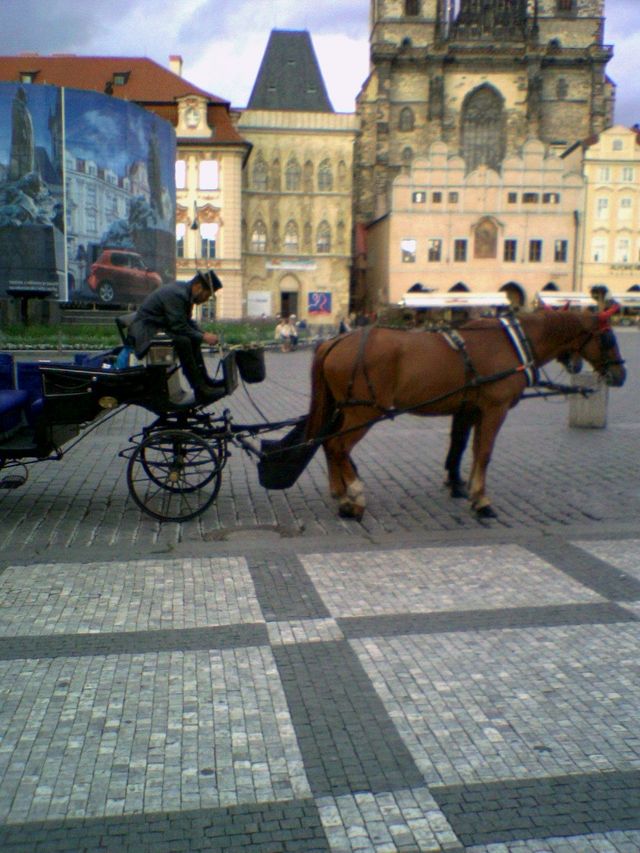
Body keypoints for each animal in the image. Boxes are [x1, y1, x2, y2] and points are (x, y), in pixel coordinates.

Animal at [304, 308, 624, 520]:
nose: (622, 375)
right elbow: (484, 452)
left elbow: (468, 448)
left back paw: (341, 494)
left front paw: (465, 487)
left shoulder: (473, 409)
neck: (510, 342)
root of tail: (334, 341)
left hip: (347, 411)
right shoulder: (495, 409)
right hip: (362, 412)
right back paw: (355, 496)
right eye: (608, 338)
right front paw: (481, 499)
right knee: (338, 446)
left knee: (329, 445)